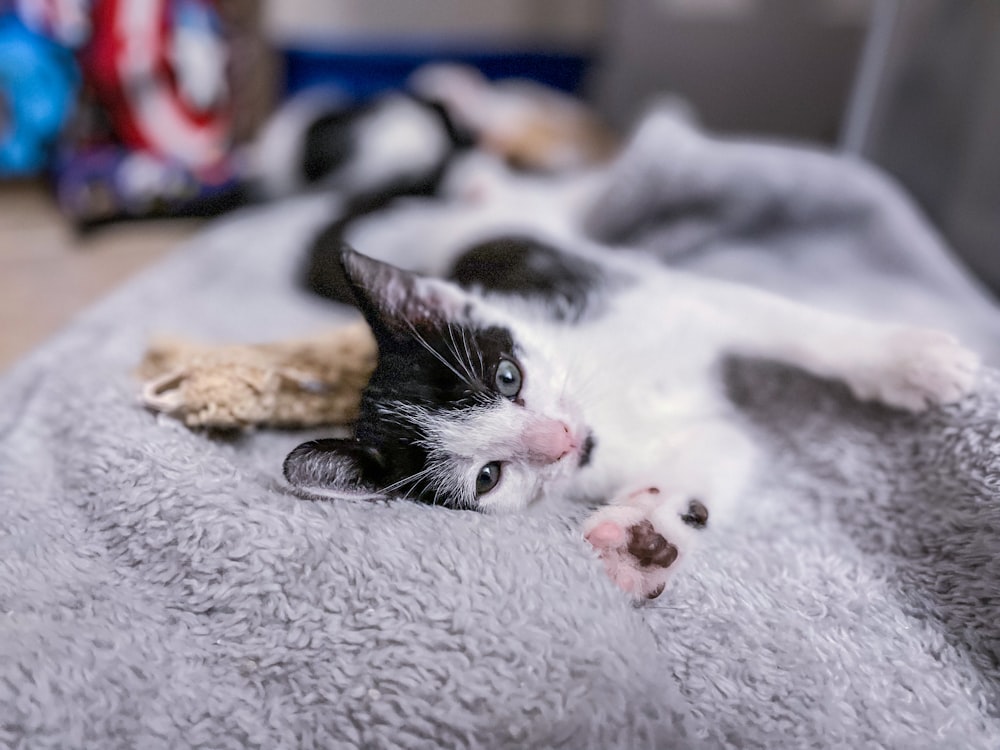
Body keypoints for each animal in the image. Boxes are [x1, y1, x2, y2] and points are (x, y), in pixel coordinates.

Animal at [280, 119, 976, 600]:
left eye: (508, 376)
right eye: (488, 477)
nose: (561, 440)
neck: (611, 405)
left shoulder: (667, 298)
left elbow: (792, 327)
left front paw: (910, 361)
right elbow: (718, 455)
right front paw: (649, 539)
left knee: (542, 187)